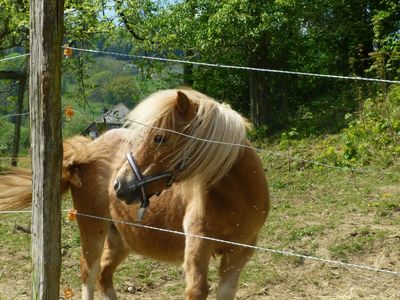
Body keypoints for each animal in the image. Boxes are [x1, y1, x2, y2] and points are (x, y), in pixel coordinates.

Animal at [0, 88, 270, 298]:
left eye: (160, 138)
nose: (120, 185)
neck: (236, 198)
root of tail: (87, 150)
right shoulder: (197, 249)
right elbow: (197, 290)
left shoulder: (240, 254)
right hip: (93, 229)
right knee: (89, 274)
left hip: (120, 238)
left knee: (104, 275)